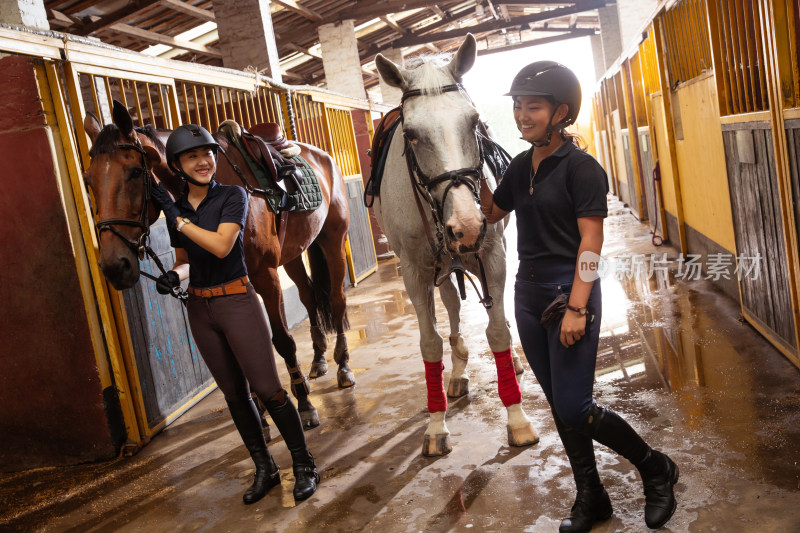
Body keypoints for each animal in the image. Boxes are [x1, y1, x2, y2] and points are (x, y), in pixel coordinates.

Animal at [374, 34, 536, 458]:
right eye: (411, 135)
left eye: (474, 122)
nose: (466, 225)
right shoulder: (414, 272)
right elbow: (430, 345)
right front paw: (435, 425)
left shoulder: (492, 254)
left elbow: (497, 333)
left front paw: (517, 420)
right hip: (443, 267)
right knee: (451, 304)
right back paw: (459, 369)